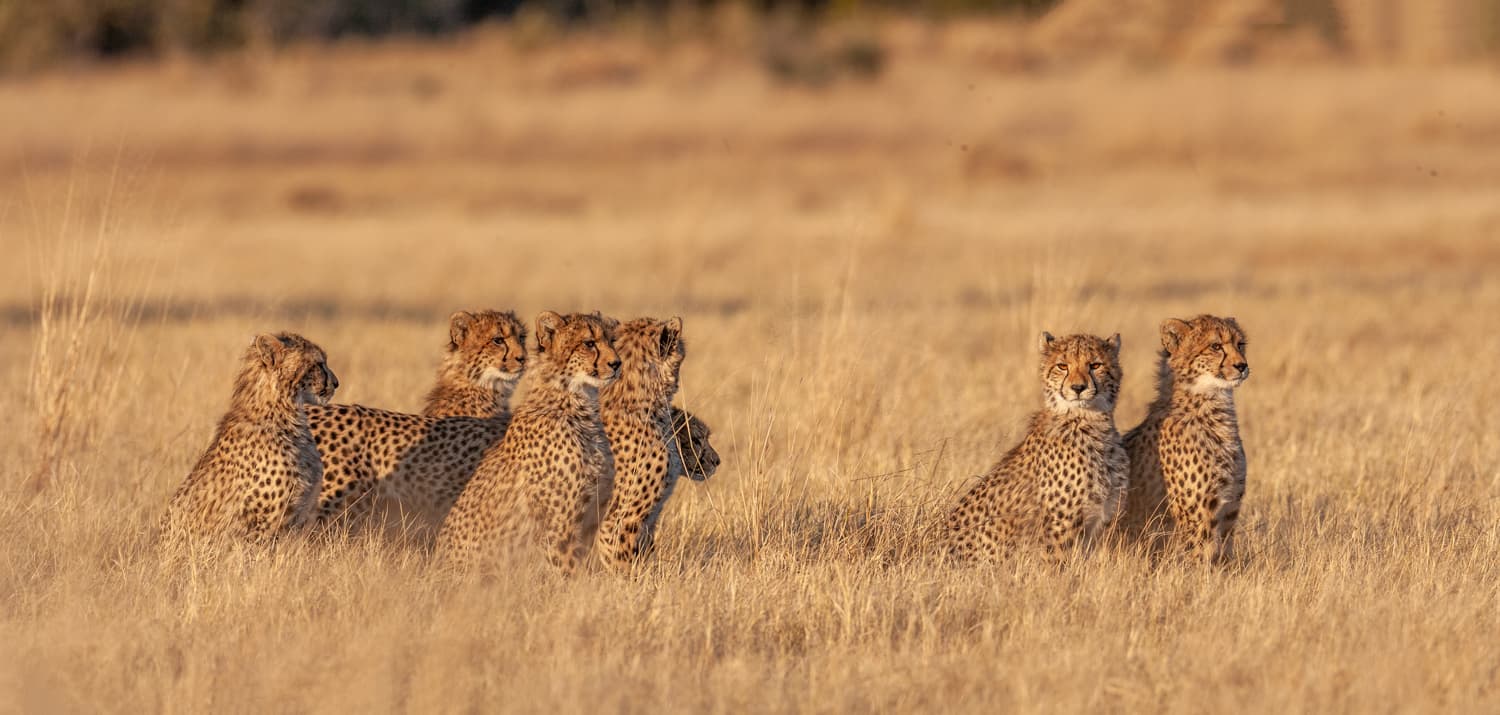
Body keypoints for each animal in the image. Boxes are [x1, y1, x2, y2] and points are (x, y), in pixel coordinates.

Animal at [435, 311, 621, 574]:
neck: (577, 406)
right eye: (589, 343)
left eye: (611, 341)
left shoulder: (590, 522)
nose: (617, 363)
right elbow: (572, 574)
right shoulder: (559, 529)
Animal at [944, 332, 1128, 564]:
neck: (1088, 422)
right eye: (1062, 366)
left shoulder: (1099, 522)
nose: (1078, 388)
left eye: (1095, 365)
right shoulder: (1059, 530)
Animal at [1119, 314, 1249, 564]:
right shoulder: (1198, 518)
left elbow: (1224, 558)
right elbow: (1201, 559)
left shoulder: (1230, 509)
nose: (1242, 366)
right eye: (1215, 346)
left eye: (1240, 345)